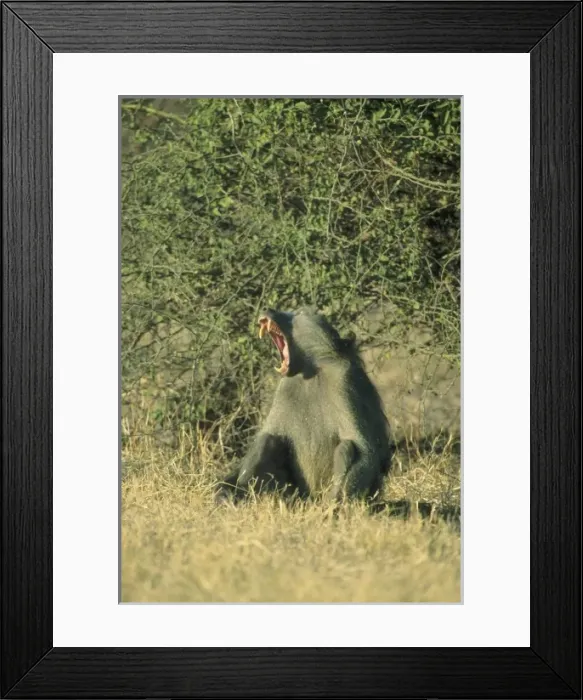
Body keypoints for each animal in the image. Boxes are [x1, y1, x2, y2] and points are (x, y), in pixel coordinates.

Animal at [215, 307, 393, 505]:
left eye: (299, 312)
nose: (268, 310)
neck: (312, 370)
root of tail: (310, 498)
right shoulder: (285, 387)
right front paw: (227, 492)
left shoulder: (344, 380)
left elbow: (364, 448)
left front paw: (334, 505)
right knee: (268, 439)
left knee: (346, 447)